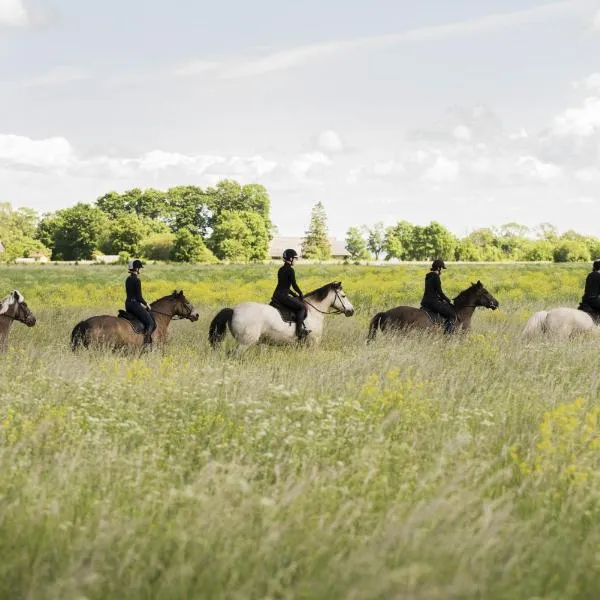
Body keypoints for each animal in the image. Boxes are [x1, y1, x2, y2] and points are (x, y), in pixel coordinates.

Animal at [209, 282, 354, 352]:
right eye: (343, 295)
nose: (351, 311)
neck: (313, 311)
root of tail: (234, 310)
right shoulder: (313, 342)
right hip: (245, 343)